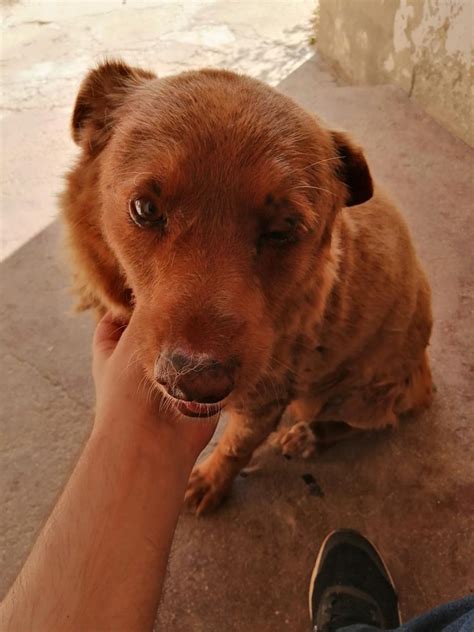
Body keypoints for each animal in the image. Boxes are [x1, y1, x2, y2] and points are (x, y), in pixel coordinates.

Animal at [61, 59, 432, 512]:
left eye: (284, 229)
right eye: (145, 208)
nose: (194, 382)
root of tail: (423, 378)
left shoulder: (266, 399)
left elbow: (237, 447)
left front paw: (211, 480)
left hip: (345, 395)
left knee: (368, 421)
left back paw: (309, 436)